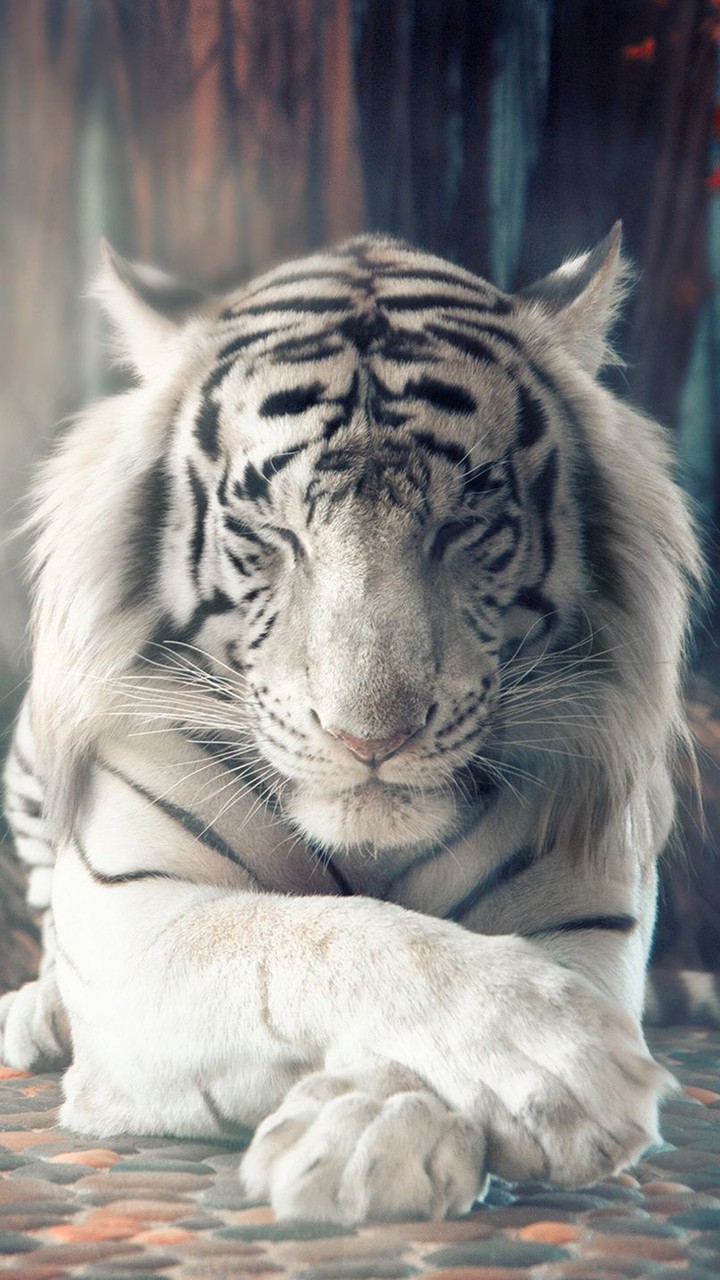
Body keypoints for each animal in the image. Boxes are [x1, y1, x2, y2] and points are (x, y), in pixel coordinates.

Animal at [0, 226, 702, 1225]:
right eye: (270, 532)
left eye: (465, 523)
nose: (371, 739)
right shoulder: (138, 918)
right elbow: (322, 937)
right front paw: (558, 1063)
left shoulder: (585, 913)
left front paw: (373, 1133)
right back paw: (40, 1011)